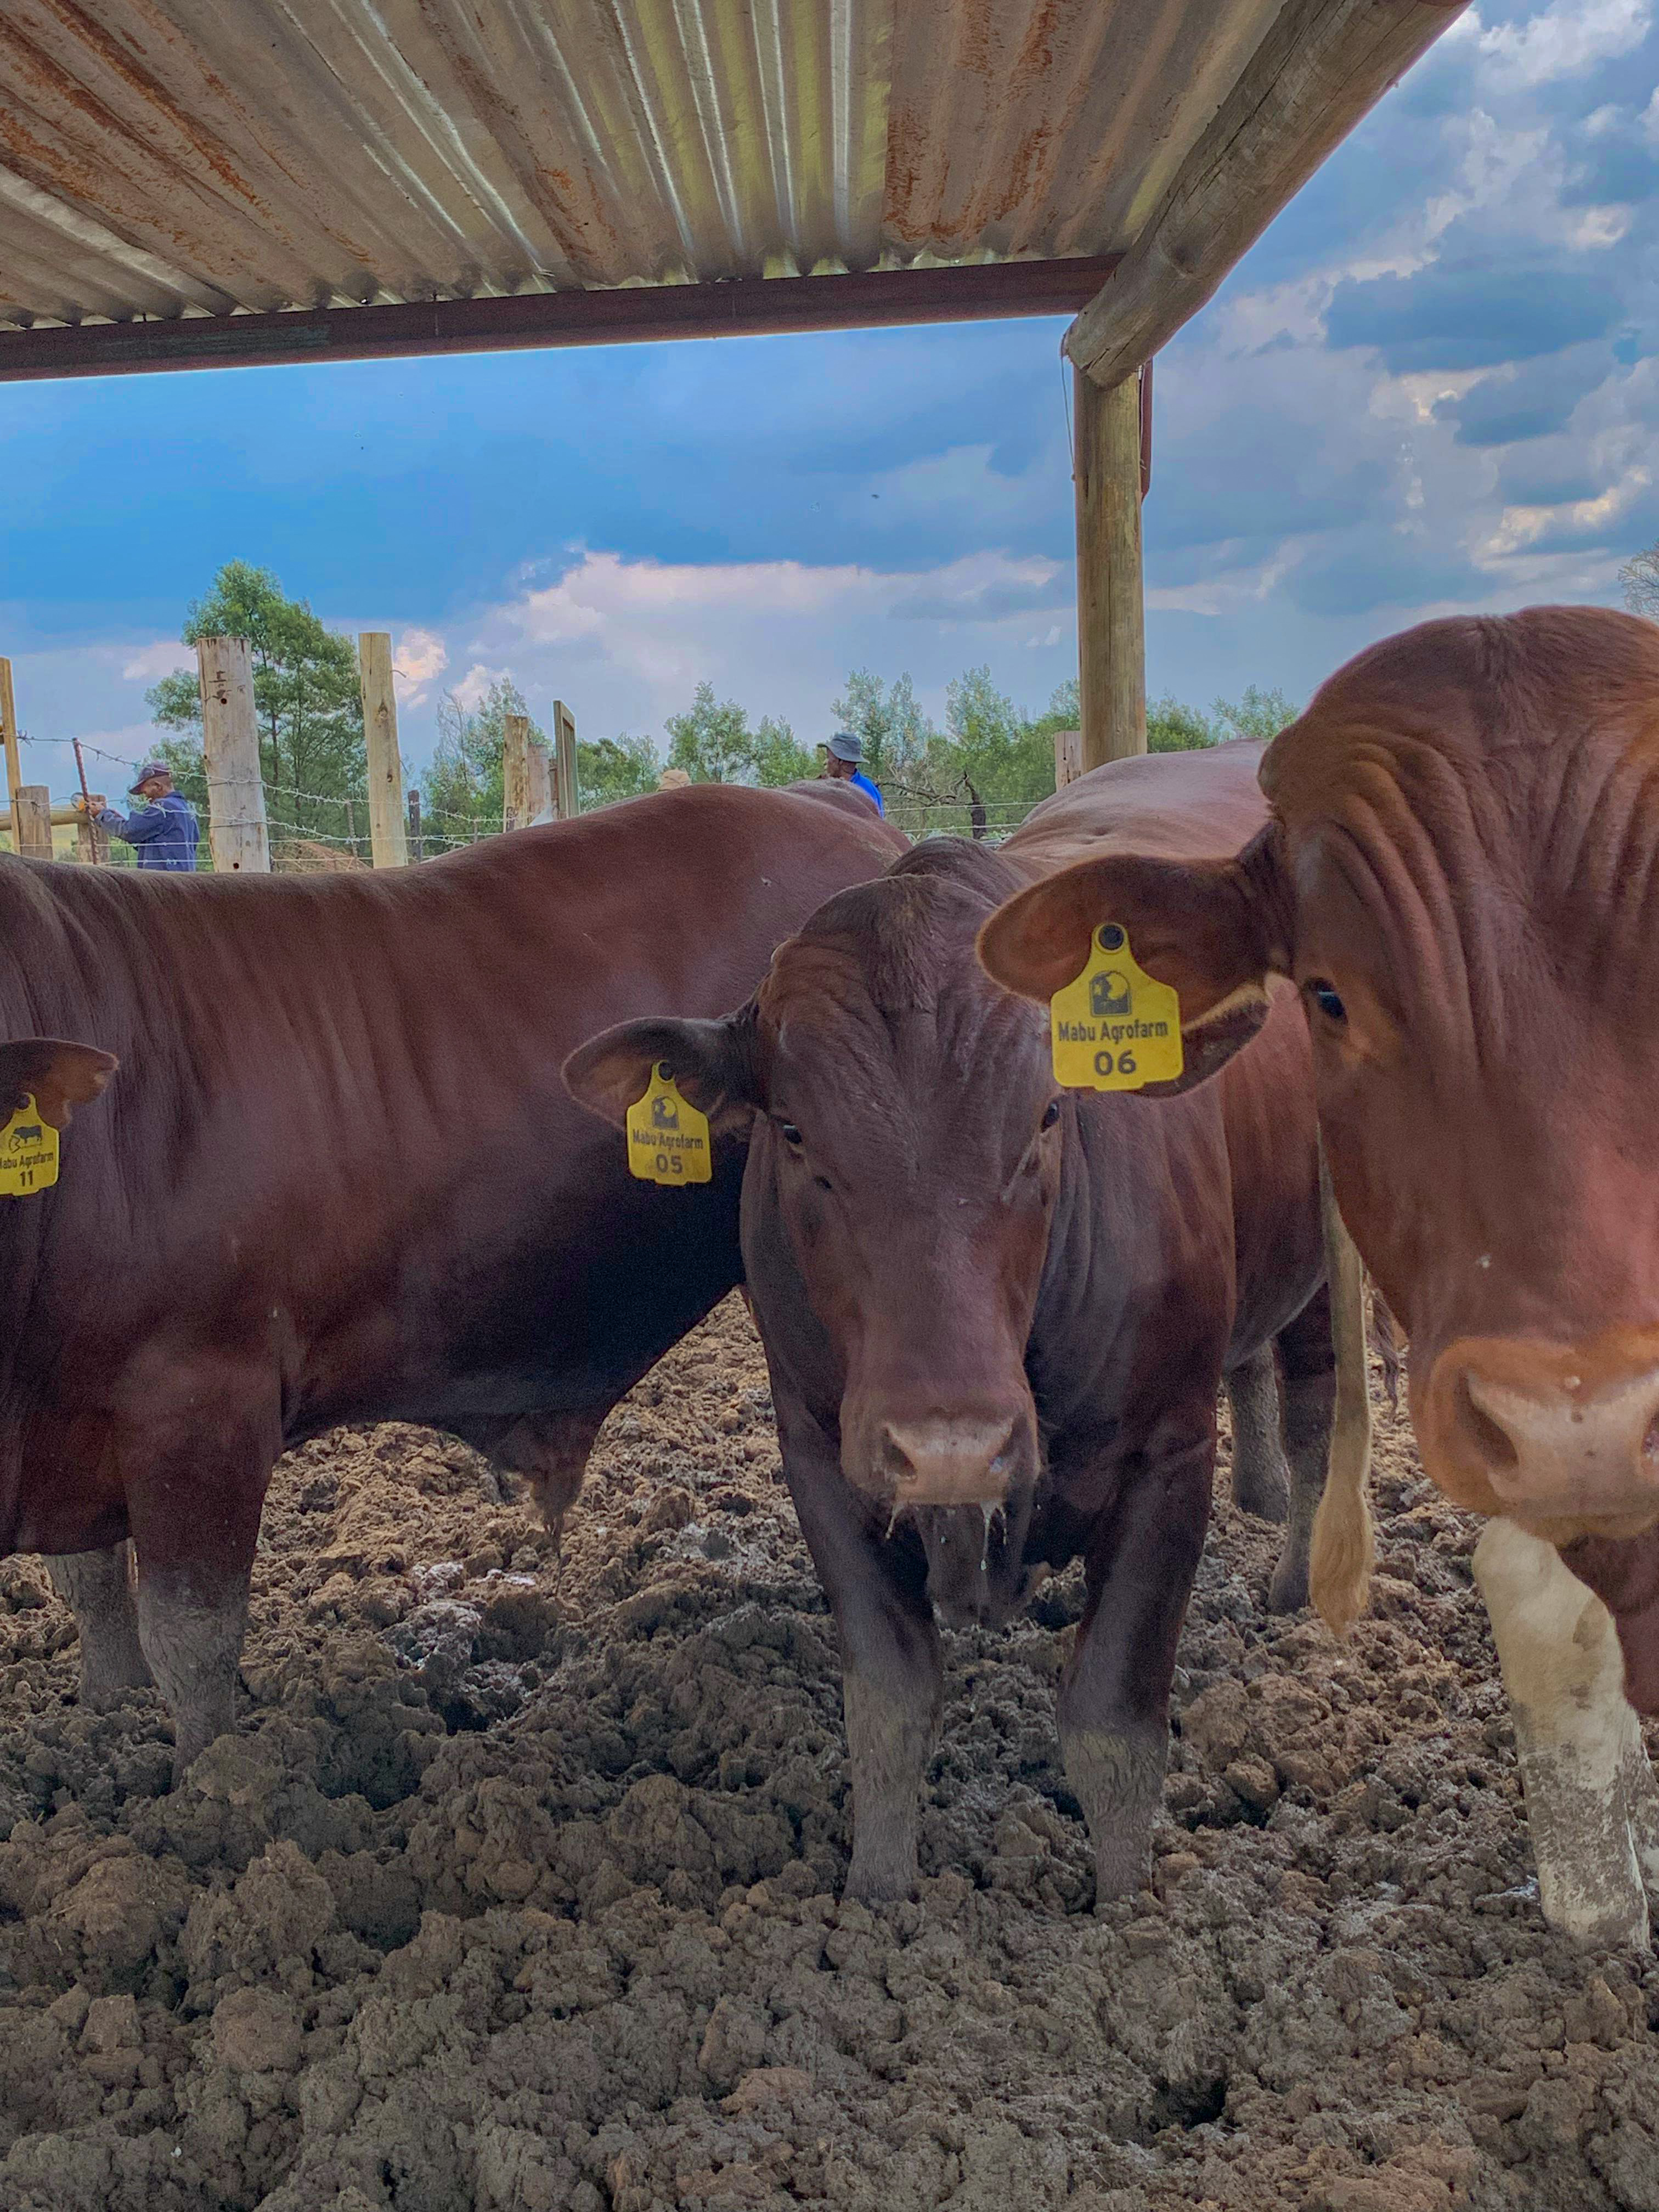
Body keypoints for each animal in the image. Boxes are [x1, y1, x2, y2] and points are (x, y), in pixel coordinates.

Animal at [566, 743, 1334, 1905]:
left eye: (1047, 1116)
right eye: (793, 1131)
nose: (949, 1446)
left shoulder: (1166, 1451)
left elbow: (1112, 1721)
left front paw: (1126, 1913)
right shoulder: (818, 1447)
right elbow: (887, 1700)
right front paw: (878, 1897)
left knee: (1317, 1409)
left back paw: (1299, 1578)